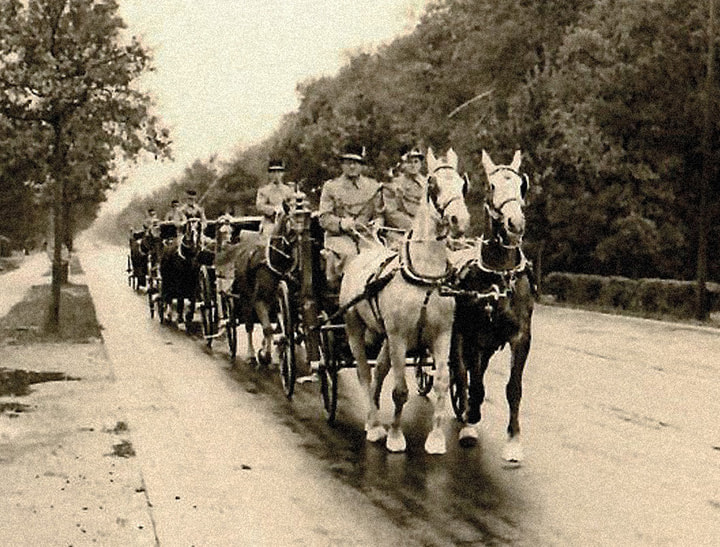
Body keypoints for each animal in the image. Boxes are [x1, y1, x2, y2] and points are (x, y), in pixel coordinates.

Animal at [340, 149, 470, 454]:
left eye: (462, 184)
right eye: (433, 184)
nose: (459, 220)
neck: (425, 274)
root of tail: (367, 250)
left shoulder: (442, 335)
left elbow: (442, 383)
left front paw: (436, 438)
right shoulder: (399, 335)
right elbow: (399, 391)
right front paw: (396, 437)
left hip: (386, 336)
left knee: (379, 371)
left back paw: (372, 417)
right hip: (355, 328)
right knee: (365, 373)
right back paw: (375, 425)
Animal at [450, 150, 536, 462]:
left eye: (522, 185)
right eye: (491, 186)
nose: (515, 224)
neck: (500, 276)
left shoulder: (520, 337)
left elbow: (513, 388)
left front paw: (513, 440)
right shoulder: (474, 336)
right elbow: (475, 384)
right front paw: (470, 423)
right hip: (457, 336)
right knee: (460, 373)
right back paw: (465, 414)